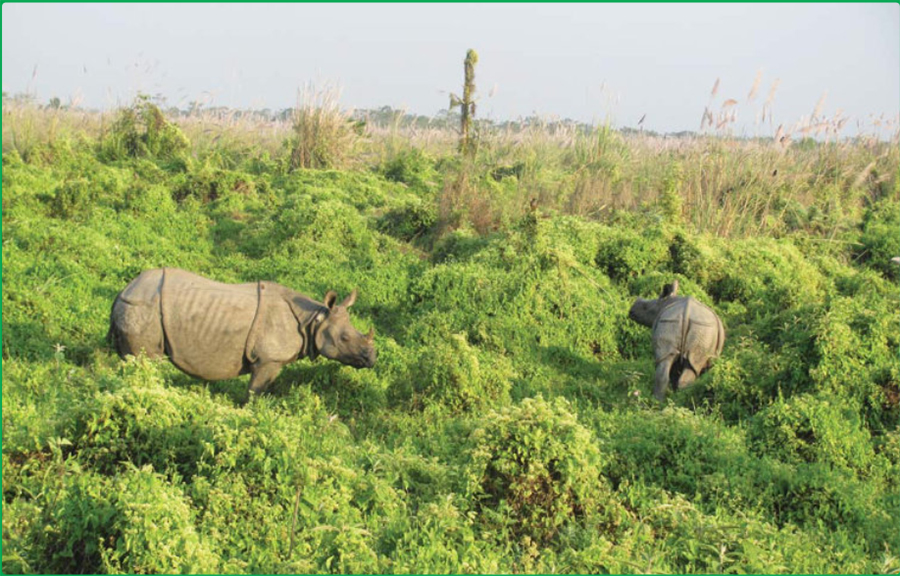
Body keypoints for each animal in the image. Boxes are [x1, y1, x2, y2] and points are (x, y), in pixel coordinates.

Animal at [109, 266, 376, 394]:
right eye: (345, 338)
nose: (372, 358)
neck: (313, 320)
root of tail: (124, 290)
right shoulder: (268, 359)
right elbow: (254, 393)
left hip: (135, 307)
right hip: (143, 309)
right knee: (147, 363)